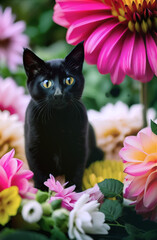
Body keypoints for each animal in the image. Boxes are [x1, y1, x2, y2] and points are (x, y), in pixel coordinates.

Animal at [23, 42, 103, 190]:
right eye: (47, 83)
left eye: (69, 80)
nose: (59, 94)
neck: (57, 119)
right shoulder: (34, 148)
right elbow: (39, 174)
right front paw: (42, 191)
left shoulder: (79, 146)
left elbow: (76, 173)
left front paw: (75, 191)